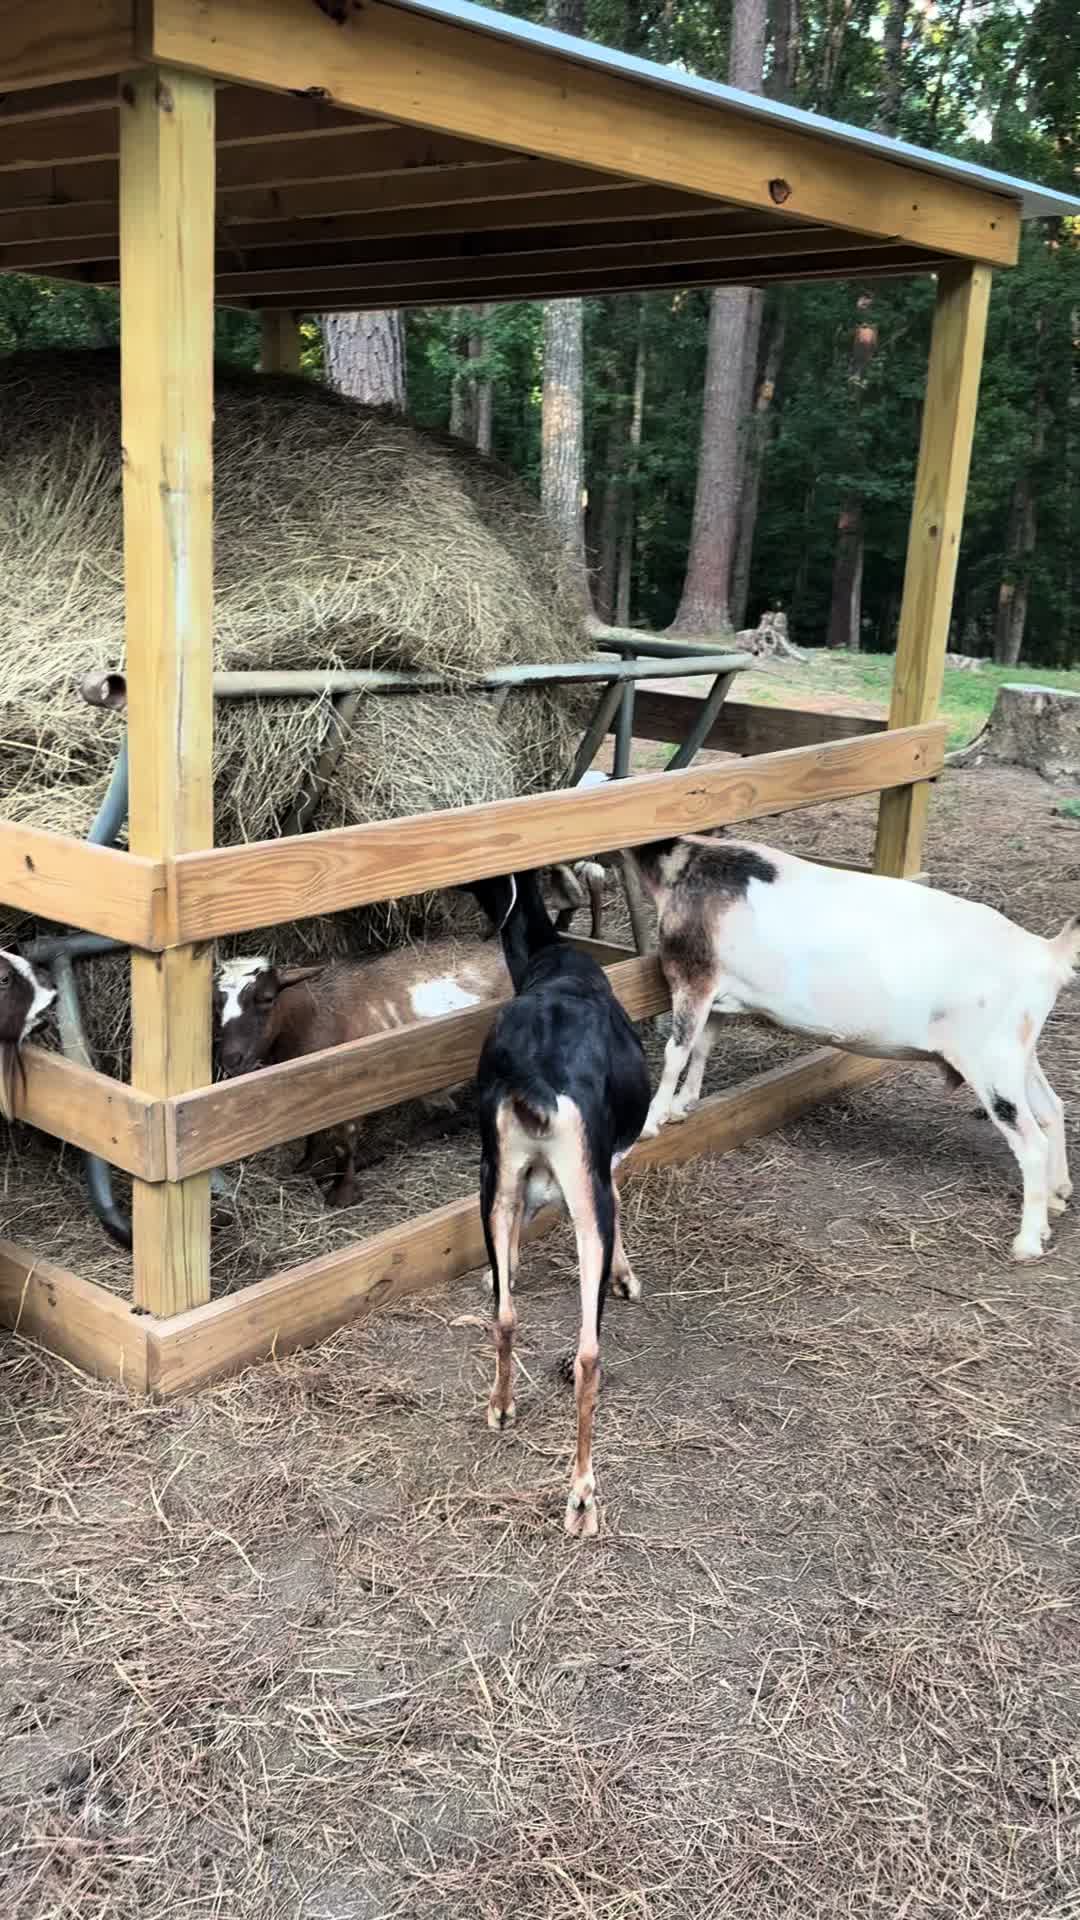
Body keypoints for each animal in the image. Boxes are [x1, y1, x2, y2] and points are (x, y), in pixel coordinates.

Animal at [214, 937, 512, 1205]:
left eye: (267, 998)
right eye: (216, 1004)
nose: (231, 1060)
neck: (311, 1016)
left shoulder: (349, 1089)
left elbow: (344, 1144)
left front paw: (342, 1195)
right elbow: (313, 1132)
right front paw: (307, 1165)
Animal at [471, 868, 650, 1537]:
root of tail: (538, 1082)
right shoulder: (606, 1162)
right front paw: (626, 1278)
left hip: (494, 1174)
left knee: (505, 1315)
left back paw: (500, 1408)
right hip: (582, 1184)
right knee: (589, 1355)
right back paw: (582, 1499)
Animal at [629, 835, 1080, 1262]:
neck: (683, 863)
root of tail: (1047, 956)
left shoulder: (693, 976)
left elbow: (675, 1052)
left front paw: (650, 1121)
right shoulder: (720, 994)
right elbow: (702, 1046)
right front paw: (682, 1105)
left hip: (990, 1061)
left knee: (1031, 1142)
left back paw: (1027, 1241)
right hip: (1016, 1052)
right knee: (1052, 1107)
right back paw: (1058, 1196)